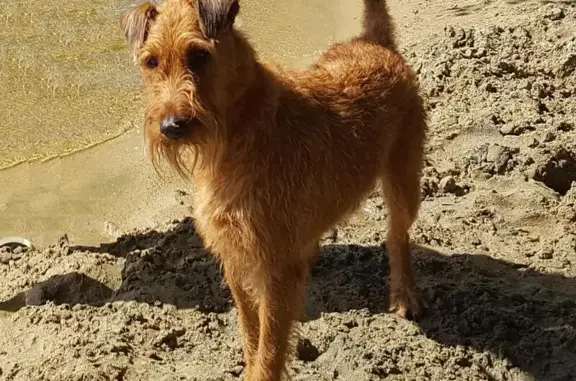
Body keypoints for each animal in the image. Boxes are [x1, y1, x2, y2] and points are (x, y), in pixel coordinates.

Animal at [121, 0, 428, 378]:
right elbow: (252, 334)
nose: (171, 127)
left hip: (404, 181)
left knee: (398, 238)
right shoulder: (236, 259)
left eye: (199, 54)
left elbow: (269, 349)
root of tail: (375, 42)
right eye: (151, 61)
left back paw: (405, 295)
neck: (238, 132)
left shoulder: (273, 269)